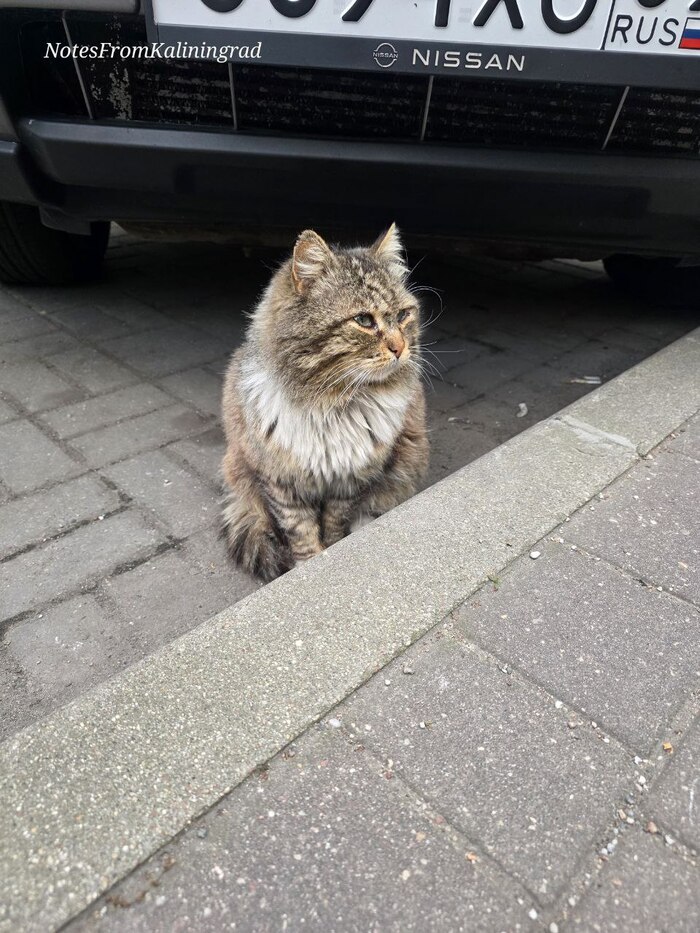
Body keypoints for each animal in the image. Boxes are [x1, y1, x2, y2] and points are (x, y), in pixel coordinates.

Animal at [220, 224, 429, 582]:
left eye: (403, 315)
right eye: (364, 320)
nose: (400, 348)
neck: (335, 405)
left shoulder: (349, 482)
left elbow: (334, 524)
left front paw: (332, 551)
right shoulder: (280, 482)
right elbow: (300, 532)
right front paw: (308, 565)